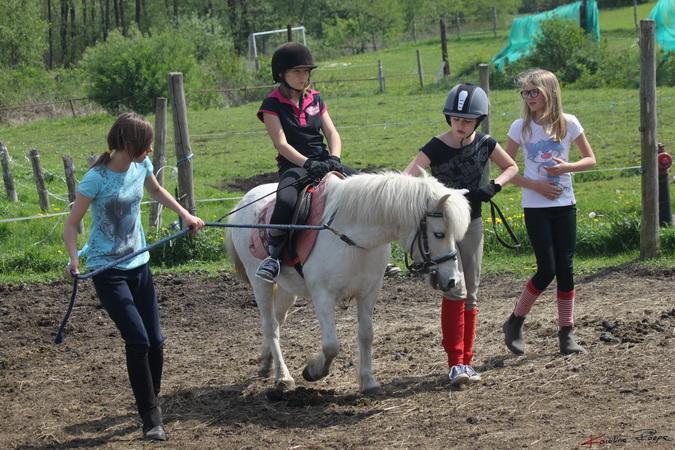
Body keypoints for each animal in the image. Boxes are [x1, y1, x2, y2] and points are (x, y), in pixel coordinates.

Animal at [227, 171, 470, 392]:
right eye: (439, 234)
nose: (452, 280)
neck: (353, 238)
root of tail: (244, 200)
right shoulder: (323, 295)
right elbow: (331, 345)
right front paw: (314, 371)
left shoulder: (369, 292)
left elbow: (366, 335)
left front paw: (369, 382)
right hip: (260, 283)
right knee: (270, 326)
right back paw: (283, 377)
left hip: (287, 290)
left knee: (276, 321)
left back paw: (267, 364)